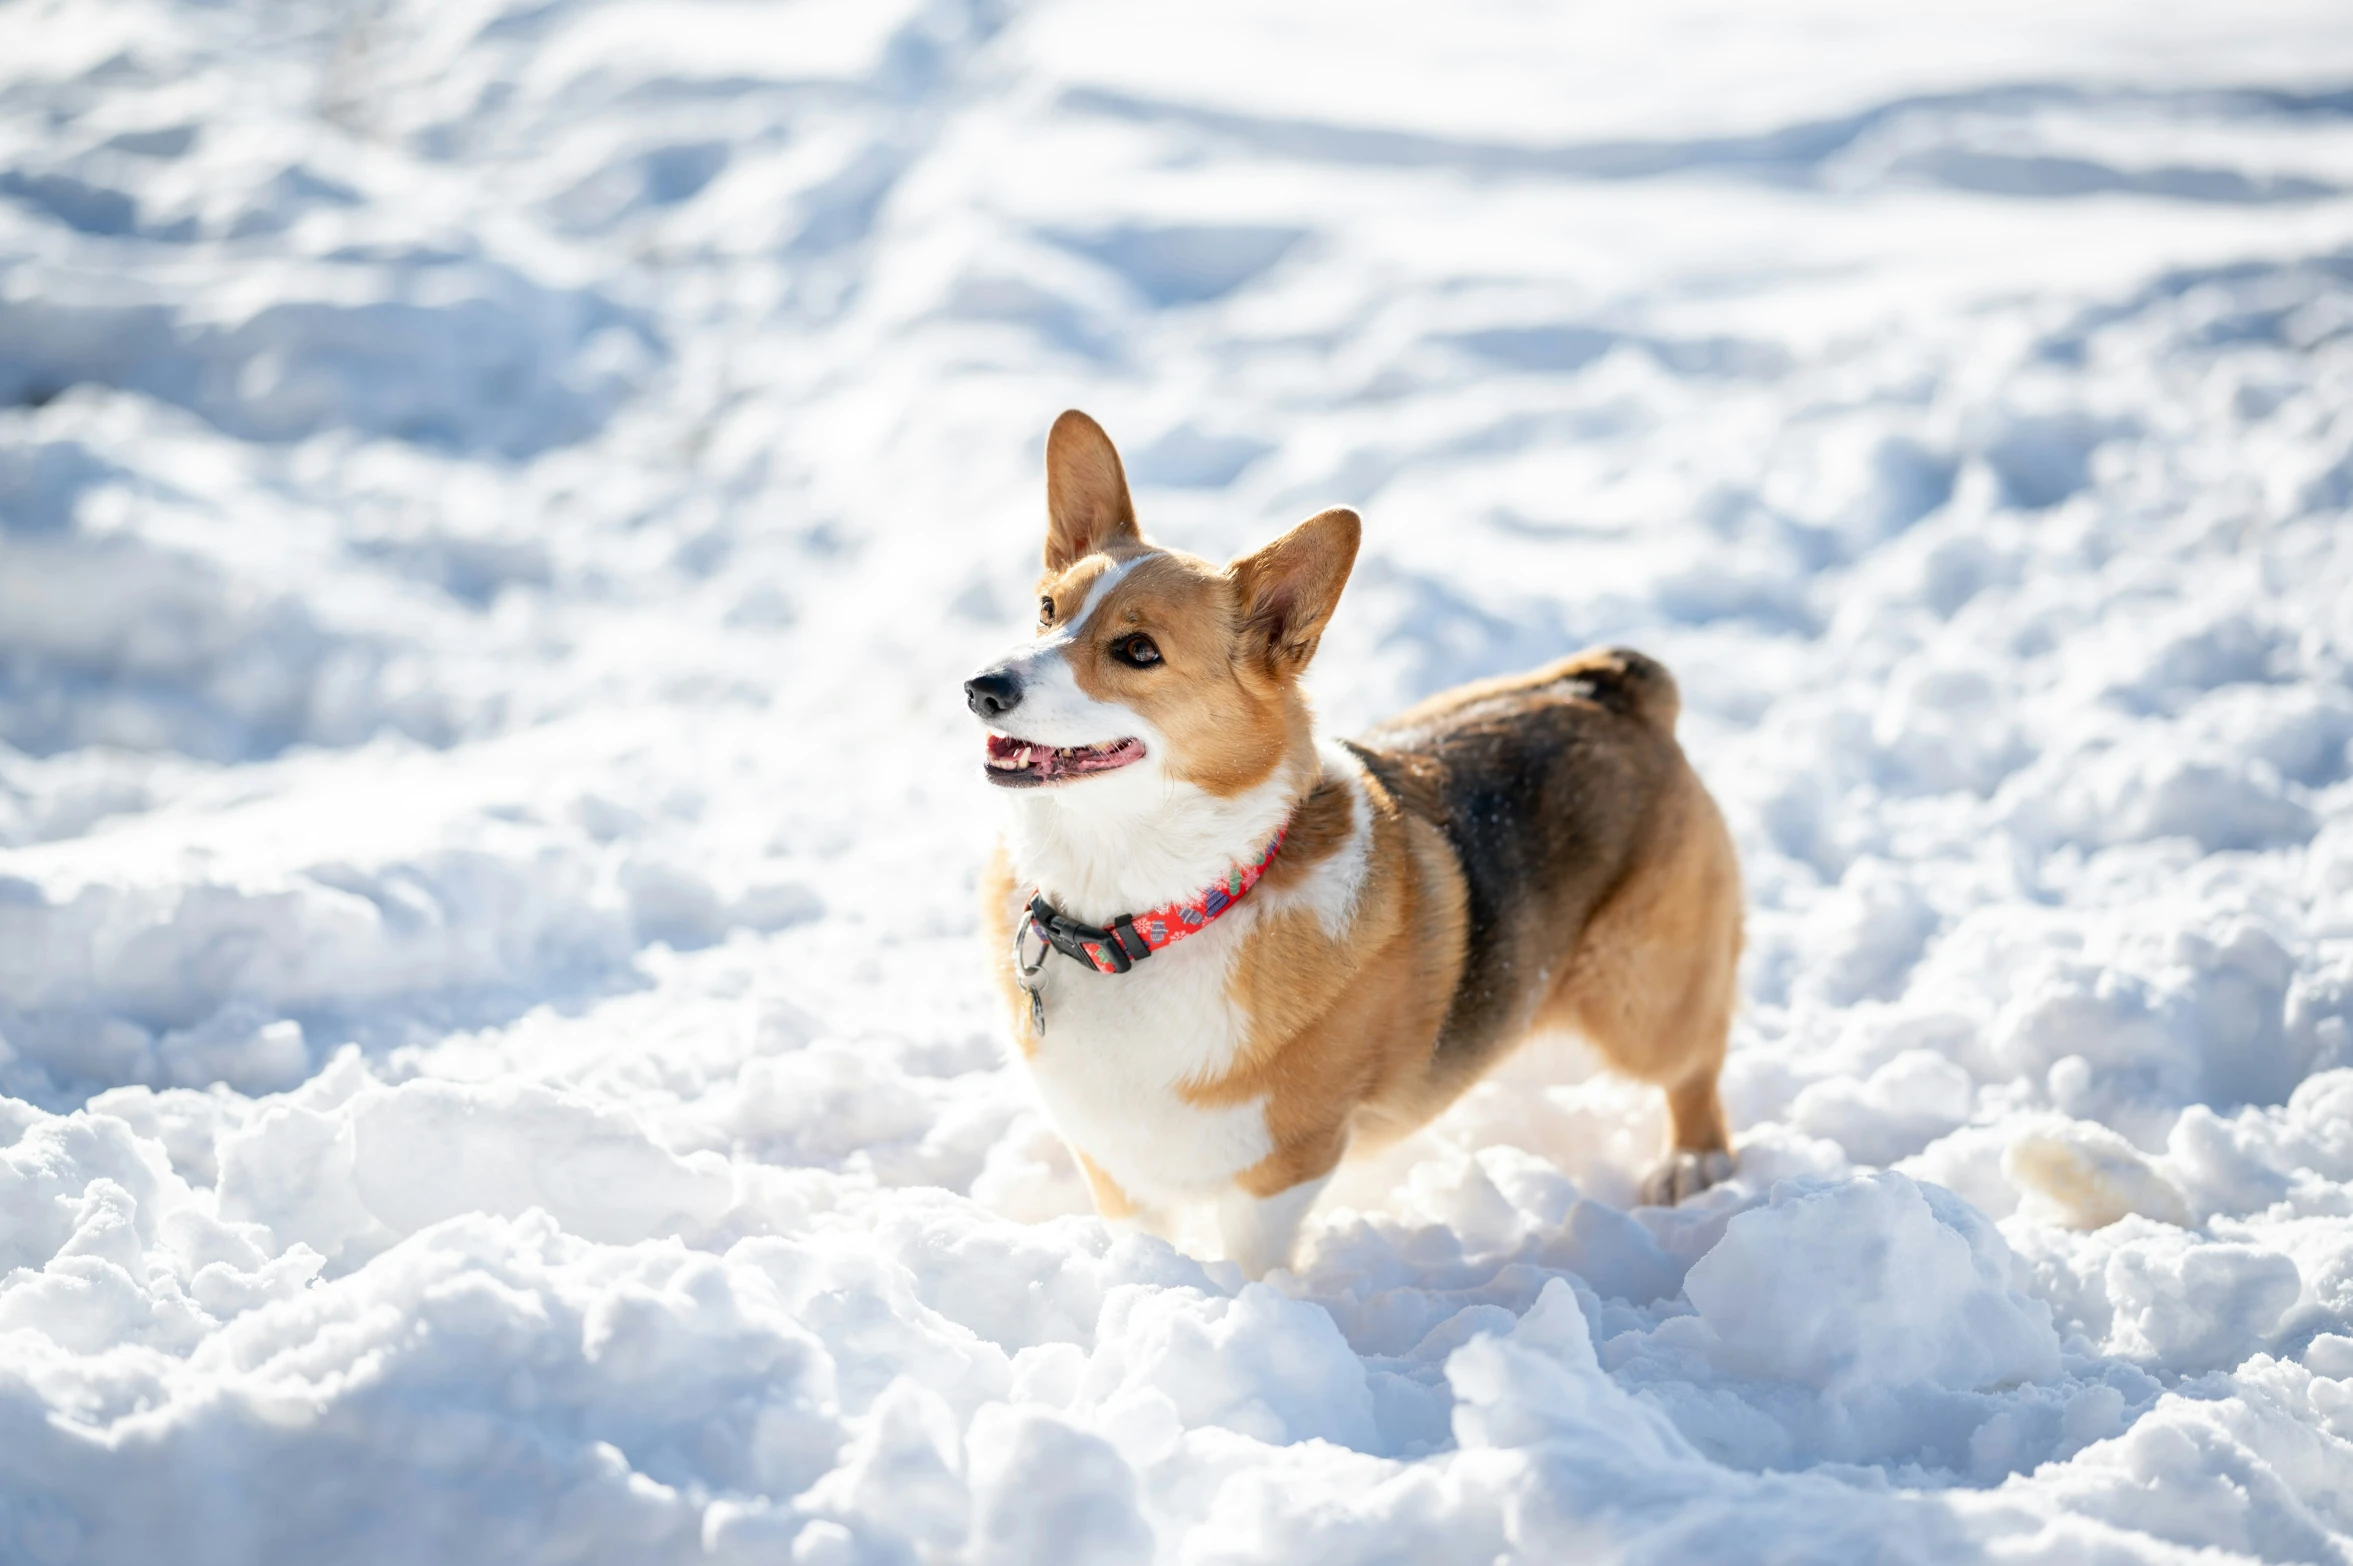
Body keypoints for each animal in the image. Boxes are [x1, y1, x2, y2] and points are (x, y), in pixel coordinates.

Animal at [964, 409, 1741, 1279]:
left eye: (1138, 650)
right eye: (1045, 608)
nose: (981, 688)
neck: (1141, 912)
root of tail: (1610, 689)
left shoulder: (1283, 1166)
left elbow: (1253, 1265)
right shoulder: (1114, 1160)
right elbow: (1145, 1240)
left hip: (1643, 995)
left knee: (1694, 1059)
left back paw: (1693, 1163)